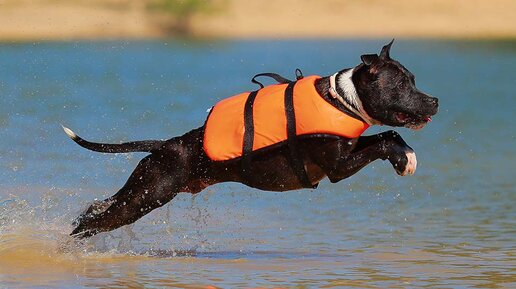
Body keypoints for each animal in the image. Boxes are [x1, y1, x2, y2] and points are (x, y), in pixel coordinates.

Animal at [62, 41, 438, 238]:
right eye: (400, 84)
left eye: (414, 80)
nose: (435, 101)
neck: (342, 99)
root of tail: (165, 145)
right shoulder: (339, 166)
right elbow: (382, 139)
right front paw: (402, 157)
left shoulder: (349, 149)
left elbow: (388, 133)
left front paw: (405, 157)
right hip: (147, 195)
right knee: (94, 221)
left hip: (141, 191)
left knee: (96, 207)